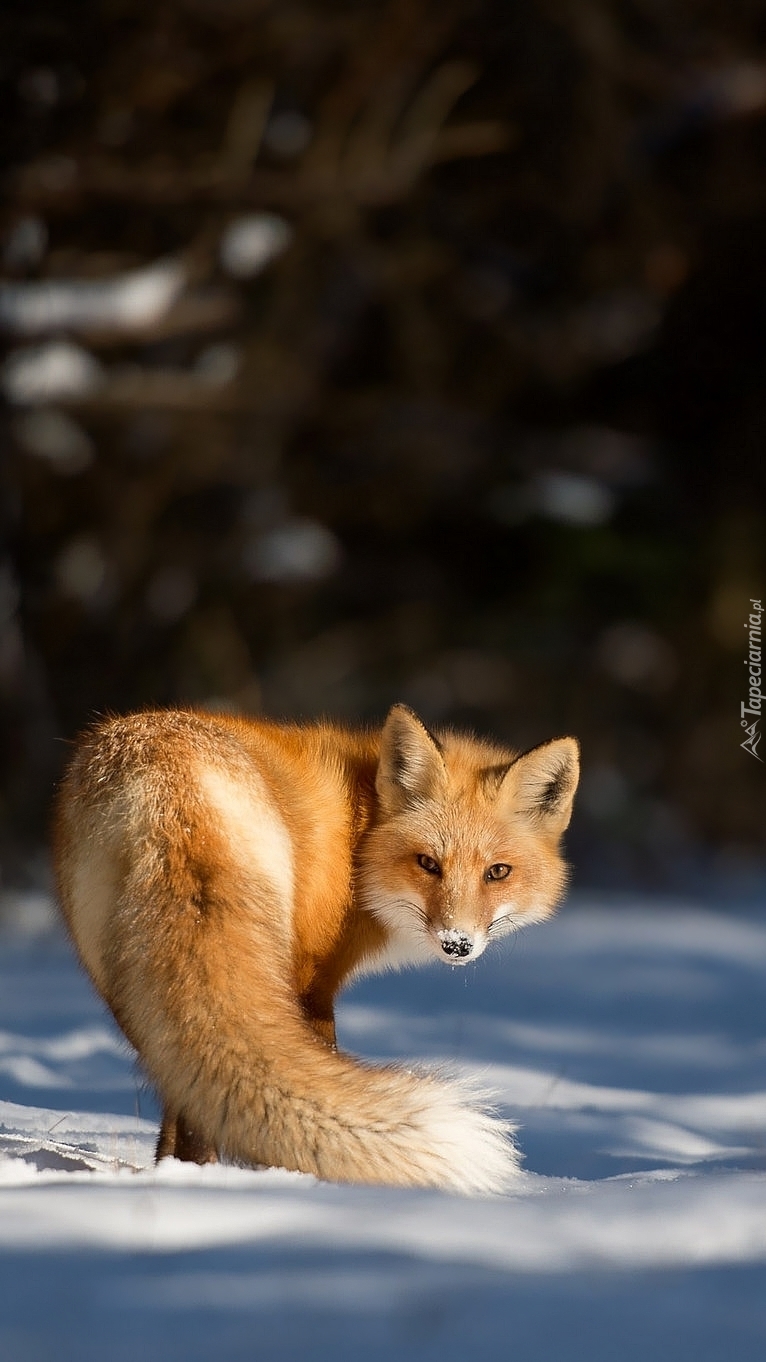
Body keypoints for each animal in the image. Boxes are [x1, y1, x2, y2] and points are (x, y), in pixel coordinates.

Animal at [53, 702, 575, 1193]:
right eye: (428, 863)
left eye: (498, 872)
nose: (458, 943)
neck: (359, 835)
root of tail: (169, 788)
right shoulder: (315, 981)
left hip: (127, 982)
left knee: (177, 1080)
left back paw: (178, 1177)